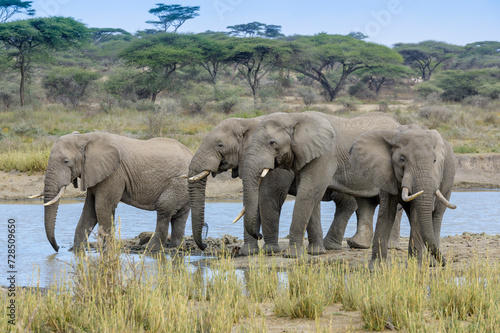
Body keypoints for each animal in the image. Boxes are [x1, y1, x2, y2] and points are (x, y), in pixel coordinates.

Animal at [37, 132, 192, 252]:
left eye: (66, 161)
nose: (57, 248)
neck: (85, 137)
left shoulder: (114, 174)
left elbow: (102, 207)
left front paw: (108, 251)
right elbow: (89, 211)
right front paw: (76, 251)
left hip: (178, 182)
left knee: (164, 210)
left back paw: (150, 249)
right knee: (179, 215)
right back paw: (176, 248)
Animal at [186, 116, 358, 254]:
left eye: (220, 145)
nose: (204, 246)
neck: (247, 122)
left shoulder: (276, 164)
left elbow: (269, 196)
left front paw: (270, 251)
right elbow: (253, 202)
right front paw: (248, 253)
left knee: (346, 204)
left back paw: (333, 246)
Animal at [240, 111, 404, 256]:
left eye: (272, 143)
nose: (259, 235)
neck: (294, 117)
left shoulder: (325, 155)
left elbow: (307, 193)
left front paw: (293, 255)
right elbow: (310, 195)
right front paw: (316, 252)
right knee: (366, 202)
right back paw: (357, 244)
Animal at [350, 123, 456, 266]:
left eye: (434, 160)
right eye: (402, 159)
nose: (444, 262)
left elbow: (417, 212)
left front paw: (414, 266)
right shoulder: (385, 173)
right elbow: (386, 212)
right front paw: (376, 266)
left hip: (448, 181)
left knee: (436, 215)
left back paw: (431, 263)